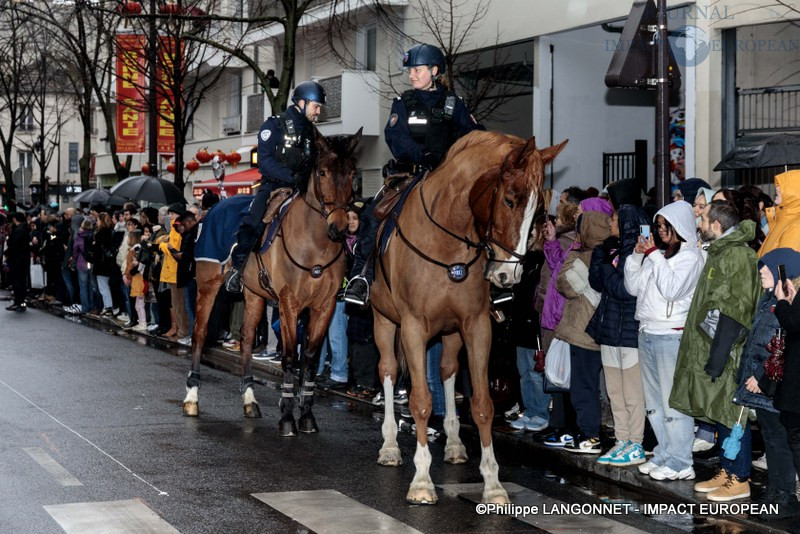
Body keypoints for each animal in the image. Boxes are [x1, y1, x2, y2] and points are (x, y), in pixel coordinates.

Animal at [183, 130, 360, 440]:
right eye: (322, 172)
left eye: (352, 173)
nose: (340, 227)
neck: (315, 244)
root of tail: (216, 206)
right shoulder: (289, 303)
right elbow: (290, 357)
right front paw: (288, 417)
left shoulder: (324, 306)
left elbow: (309, 358)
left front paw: (307, 414)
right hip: (207, 285)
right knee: (200, 334)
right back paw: (192, 396)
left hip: (254, 295)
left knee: (245, 340)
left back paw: (250, 399)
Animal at [370, 131, 564, 506]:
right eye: (509, 200)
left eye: (539, 212)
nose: (509, 276)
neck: (450, 244)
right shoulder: (413, 327)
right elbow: (421, 401)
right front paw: (421, 481)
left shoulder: (476, 326)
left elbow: (482, 404)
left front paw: (493, 484)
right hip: (384, 320)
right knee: (388, 370)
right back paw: (387, 446)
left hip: (450, 334)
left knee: (447, 371)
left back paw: (455, 444)